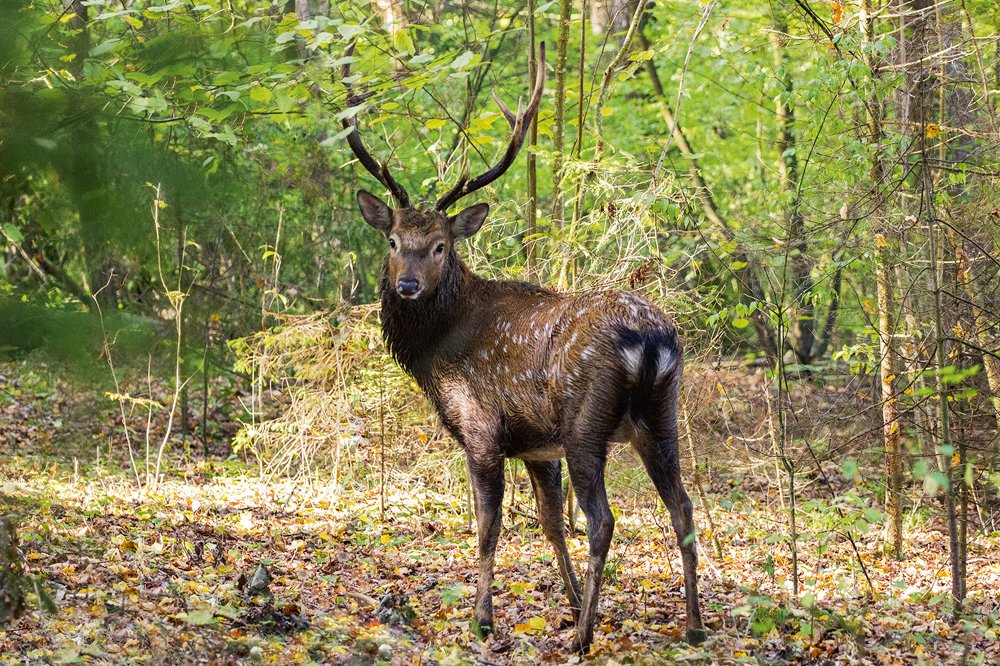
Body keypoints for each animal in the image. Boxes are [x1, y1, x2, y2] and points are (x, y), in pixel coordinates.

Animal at [340, 42, 708, 652]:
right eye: (393, 240)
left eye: (439, 245)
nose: (407, 285)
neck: (436, 353)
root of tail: (651, 339)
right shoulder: (537, 445)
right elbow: (549, 522)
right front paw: (568, 601)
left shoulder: (482, 427)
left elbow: (488, 527)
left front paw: (483, 618)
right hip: (662, 415)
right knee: (681, 507)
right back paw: (694, 626)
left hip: (585, 422)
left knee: (604, 519)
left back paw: (583, 638)